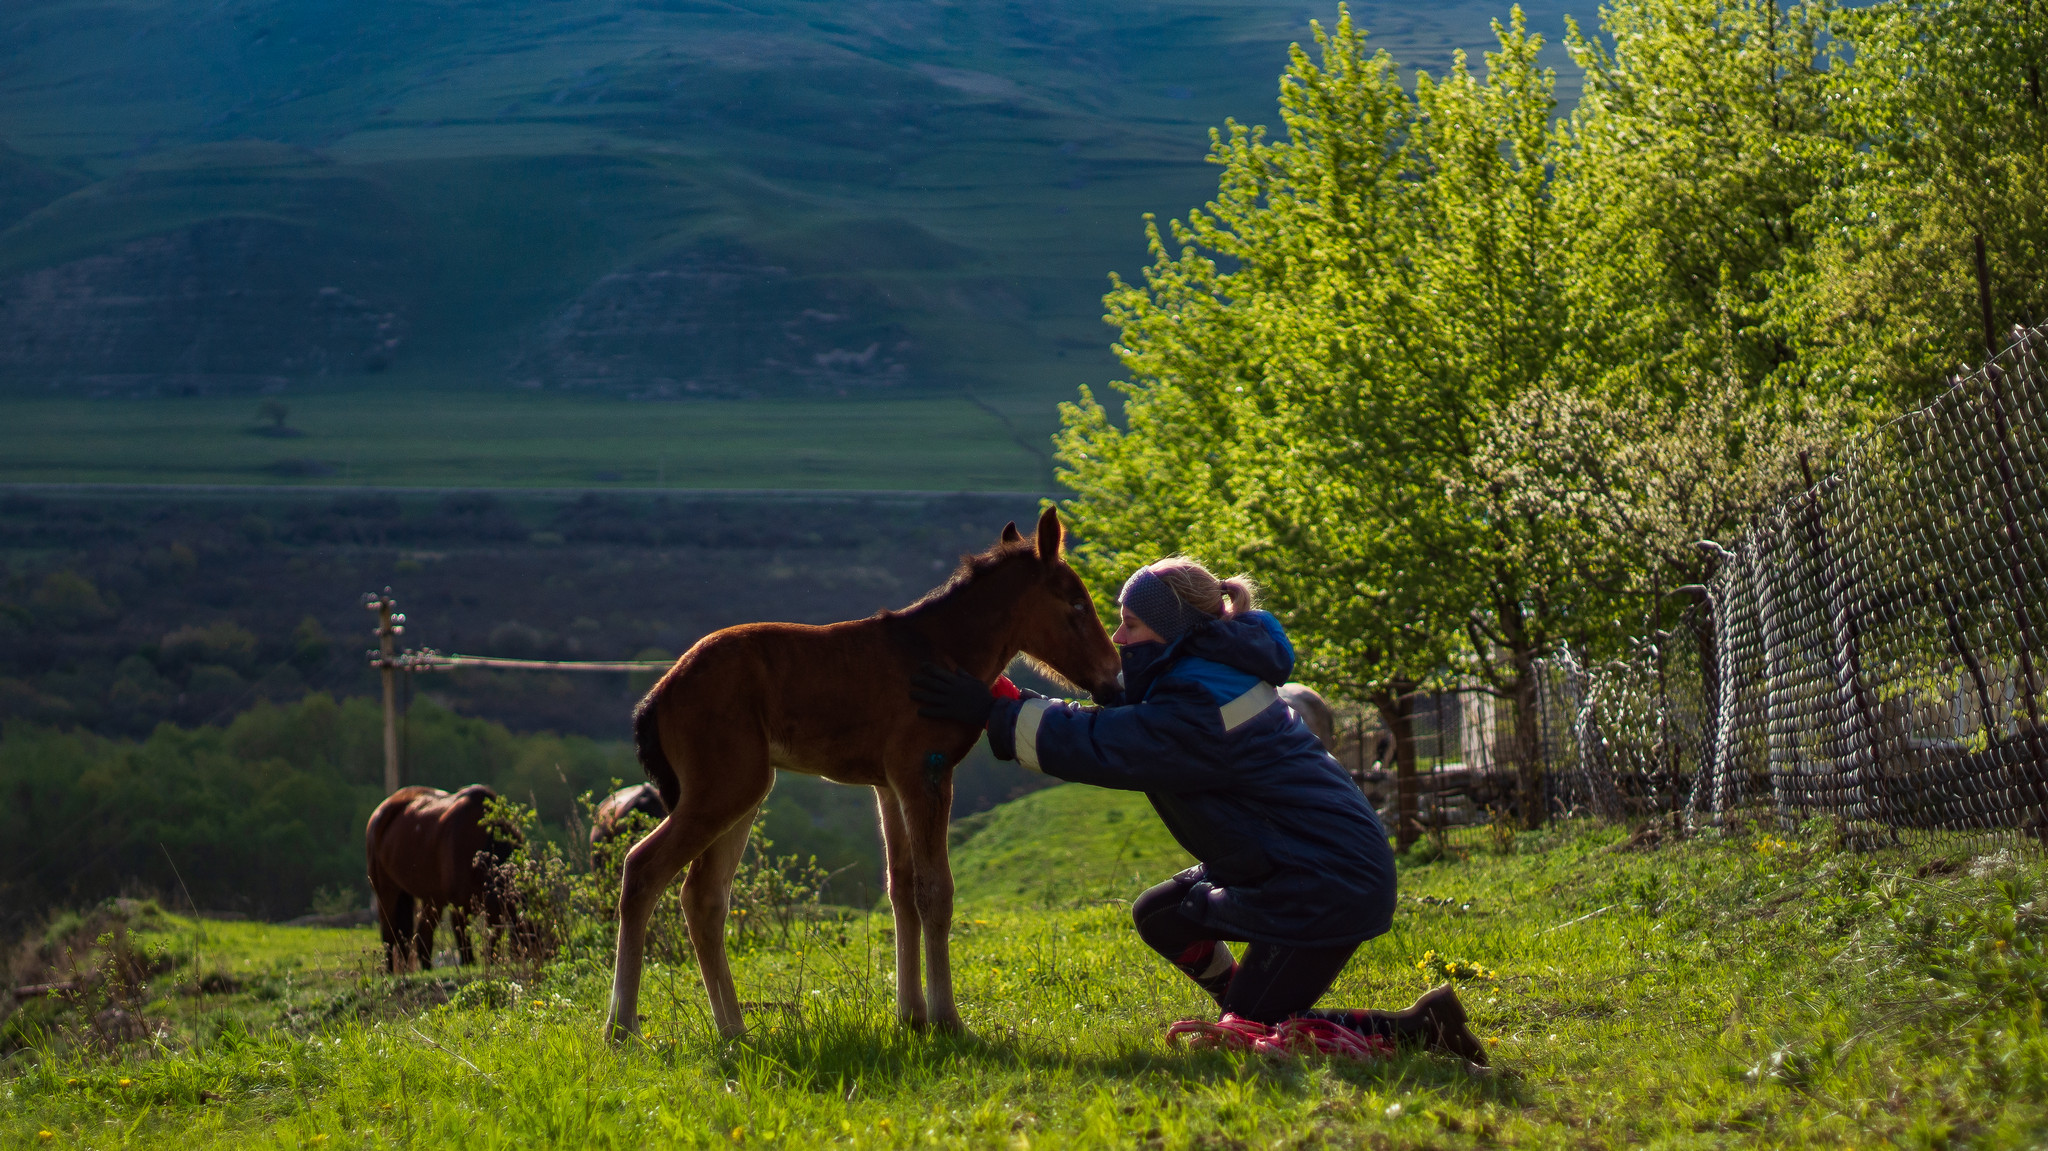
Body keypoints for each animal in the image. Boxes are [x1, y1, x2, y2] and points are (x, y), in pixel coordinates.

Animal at [370, 778, 524, 966]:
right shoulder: (459, 904)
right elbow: (463, 940)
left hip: (431, 898)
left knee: (421, 935)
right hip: (387, 891)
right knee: (389, 936)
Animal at [606, 507, 1122, 1040]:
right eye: (1077, 603)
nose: (1113, 676)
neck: (941, 653)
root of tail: (660, 693)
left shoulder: (889, 786)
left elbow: (901, 888)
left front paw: (912, 1014)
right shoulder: (925, 773)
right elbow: (935, 890)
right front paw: (948, 1019)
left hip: (741, 795)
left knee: (703, 897)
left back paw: (734, 1032)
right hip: (725, 791)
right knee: (643, 870)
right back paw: (623, 1029)